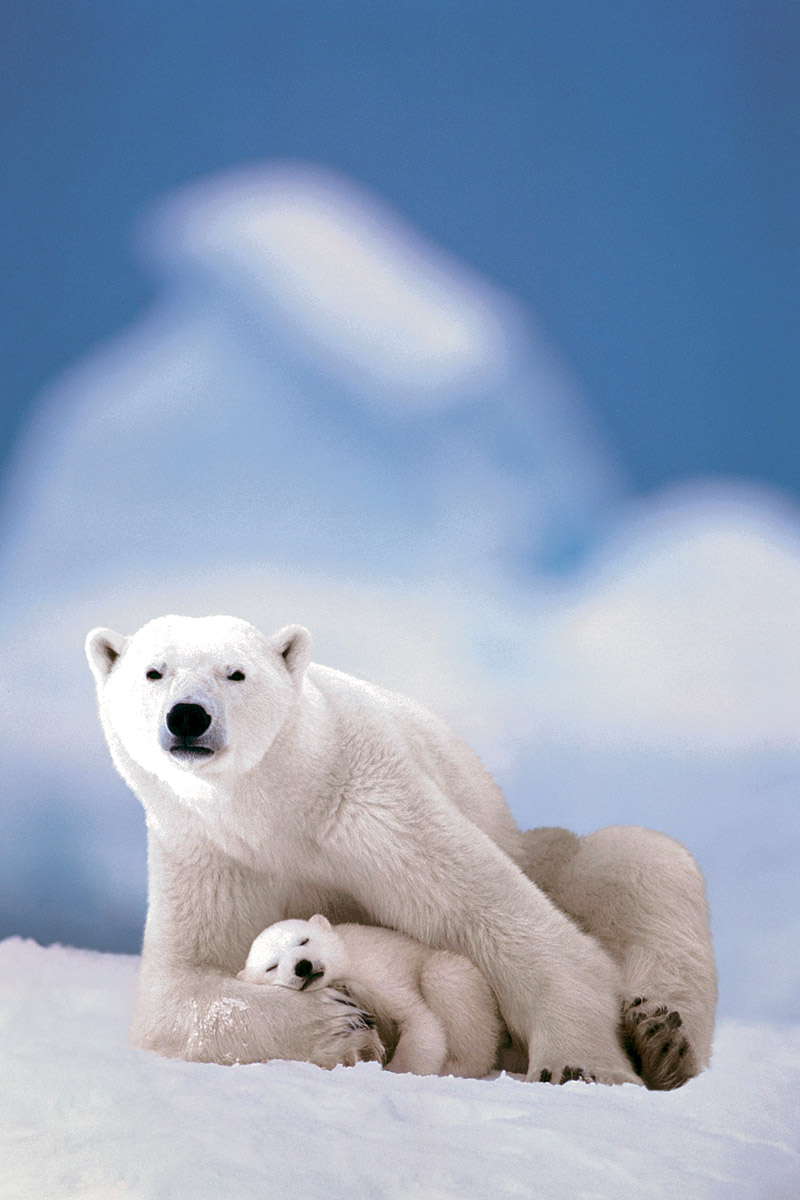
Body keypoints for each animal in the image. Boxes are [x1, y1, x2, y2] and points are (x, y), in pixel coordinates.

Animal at [238, 914, 504, 1078]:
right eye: (271, 966)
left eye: (304, 940)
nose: (303, 966)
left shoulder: (376, 972)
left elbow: (417, 1019)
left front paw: (398, 1070)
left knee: (444, 976)